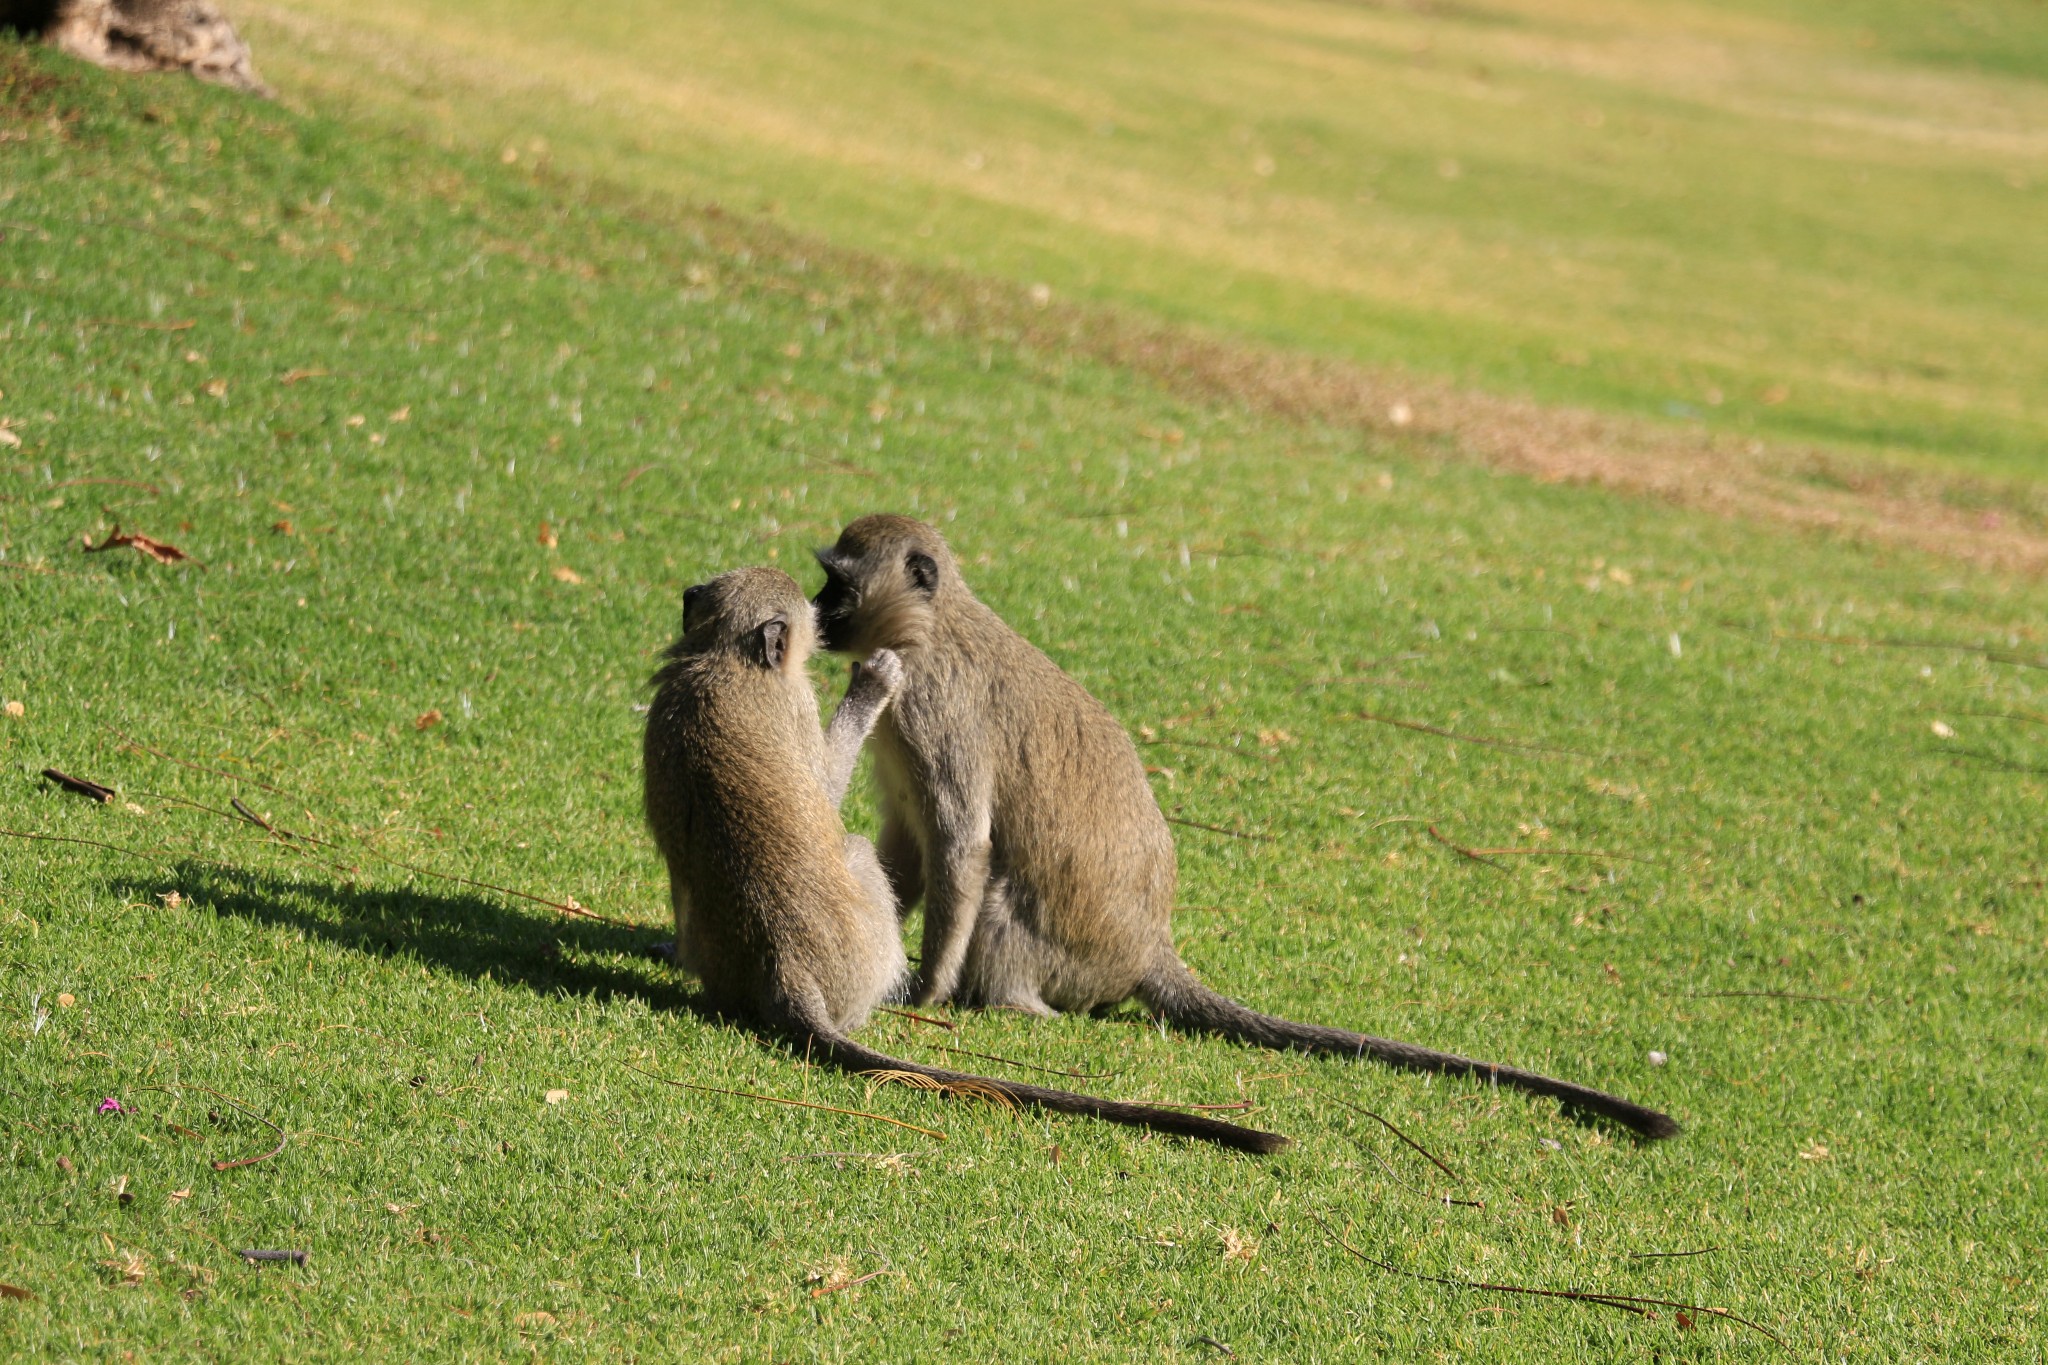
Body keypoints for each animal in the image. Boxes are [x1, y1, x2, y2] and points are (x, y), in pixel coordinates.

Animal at [638, 564, 1286, 1154]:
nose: (824, 620)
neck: (717, 658)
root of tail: (783, 972)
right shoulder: (798, 702)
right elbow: (827, 790)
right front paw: (870, 686)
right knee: (858, 850)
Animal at [811, 515, 1679, 1146]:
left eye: (838, 582)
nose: (817, 616)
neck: (928, 629)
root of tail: (1148, 947)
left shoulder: (936, 711)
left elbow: (962, 845)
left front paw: (927, 991)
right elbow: (907, 851)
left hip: (1061, 953)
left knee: (999, 899)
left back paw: (1014, 1003)